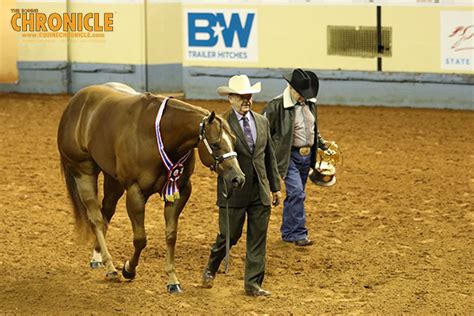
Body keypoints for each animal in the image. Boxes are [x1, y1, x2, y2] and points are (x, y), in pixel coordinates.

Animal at [57, 82, 246, 292]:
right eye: (215, 145)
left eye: (234, 141)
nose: (238, 178)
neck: (159, 135)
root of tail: (76, 101)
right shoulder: (135, 192)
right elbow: (140, 238)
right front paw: (128, 270)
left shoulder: (180, 191)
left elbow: (171, 235)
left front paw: (172, 280)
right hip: (84, 170)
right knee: (96, 218)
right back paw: (111, 267)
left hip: (112, 179)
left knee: (106, 212)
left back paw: (97, 257)